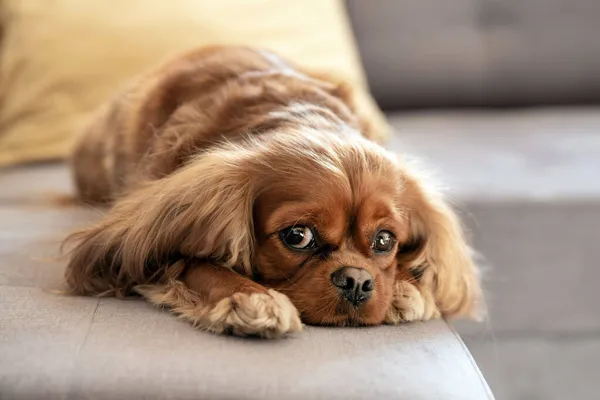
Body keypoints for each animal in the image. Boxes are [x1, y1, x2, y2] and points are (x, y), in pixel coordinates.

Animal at [63, 47, 482, 338]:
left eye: (384, 241)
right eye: (298, 236)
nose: (357, 281)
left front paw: (406, 290)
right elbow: (194, 262)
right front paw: (249, 297)